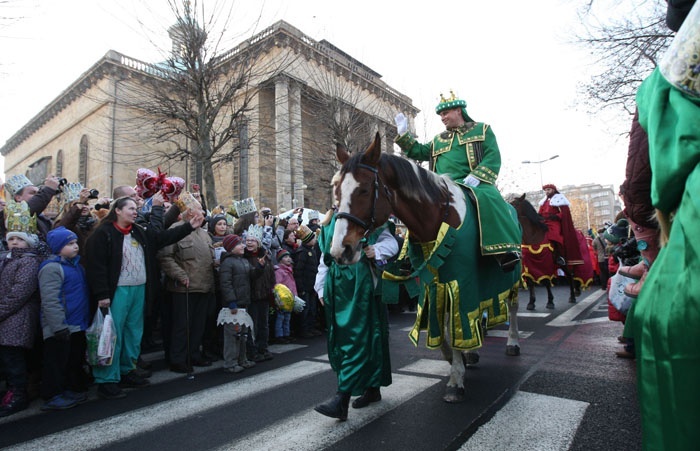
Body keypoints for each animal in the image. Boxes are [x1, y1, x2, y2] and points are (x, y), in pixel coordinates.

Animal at [330, 132, 524, 404]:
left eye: (365, 189)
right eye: (336, 190)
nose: (340, 251)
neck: (438, 216)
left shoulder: (460, 281)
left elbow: (456, 321)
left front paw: (456, 380)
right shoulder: (434, 283)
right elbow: (442, 325)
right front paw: (457, 359)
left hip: (515, 275)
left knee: (513, 307)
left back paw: (513, 343)